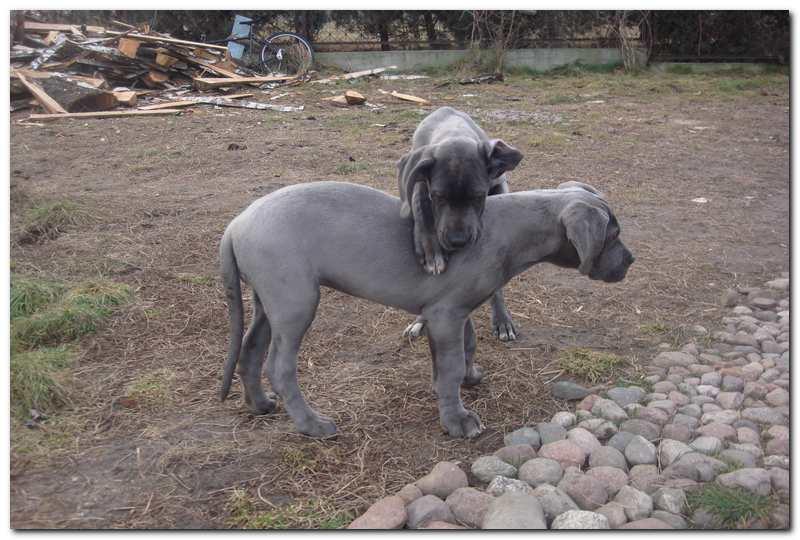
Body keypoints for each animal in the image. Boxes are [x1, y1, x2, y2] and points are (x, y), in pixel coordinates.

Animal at [222, 180, 636, 438]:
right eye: (613, 235)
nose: (631, 261)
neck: (508, 230)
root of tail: (235, 225)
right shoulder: (446, 314)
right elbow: (449, 367)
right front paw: (458, 420)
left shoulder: (454, 310)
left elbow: (464, 349)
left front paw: (468, 377)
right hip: (295, 303)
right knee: (280, 367)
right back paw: (312, 425)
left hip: (268, 303)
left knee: (250, 350)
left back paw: (259, 404)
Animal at [396, 106, 520, 338]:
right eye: (438, 196)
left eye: (478, 196)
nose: (458, 241)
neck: (453, 132)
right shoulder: (419, 178)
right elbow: (419, 204)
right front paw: (431, 250)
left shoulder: (498, 183)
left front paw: (501, 318)